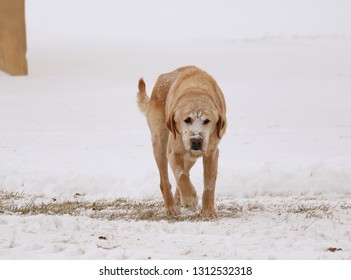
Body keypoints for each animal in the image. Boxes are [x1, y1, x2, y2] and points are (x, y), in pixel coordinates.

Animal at [136, 66, 227, 219]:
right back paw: (171, 207)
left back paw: (179, 200)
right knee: (165, 181)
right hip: (159, 144)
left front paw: (208, 212)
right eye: (187, 120)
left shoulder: (212, 152)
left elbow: (209, 184)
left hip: (191, 157)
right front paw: (190, 199)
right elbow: (181, 176)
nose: (196, 141)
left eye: (207, 121)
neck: (196, 91)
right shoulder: (173, 152)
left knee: (185, 172)